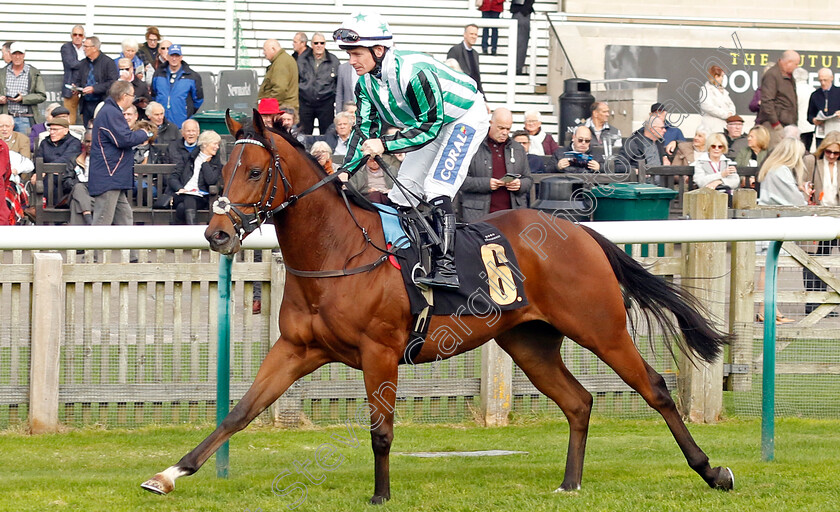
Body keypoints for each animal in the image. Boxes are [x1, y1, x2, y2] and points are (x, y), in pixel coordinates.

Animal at [144, 111, 736, 500]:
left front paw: (380, 496)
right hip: (529, 340)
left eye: (254, 171)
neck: (338, 251)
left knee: (655, 387)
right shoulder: (296, 348)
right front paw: (169, 474)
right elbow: (239, 412)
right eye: (221, 169)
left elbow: (381, 429)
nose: (217, 234)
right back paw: (570, 484)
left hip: (601, 327)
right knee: (578, 401)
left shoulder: (380, 351)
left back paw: (712, 471)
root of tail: (579, 229)